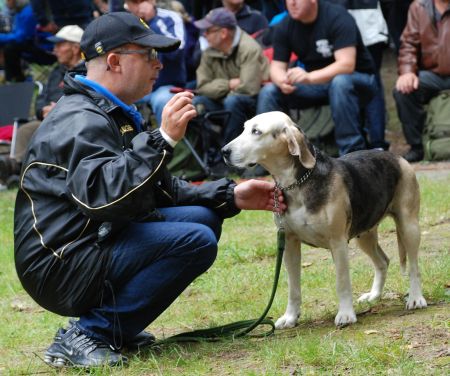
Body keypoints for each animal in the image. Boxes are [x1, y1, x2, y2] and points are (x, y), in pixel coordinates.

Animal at [223, 111, 428, 326]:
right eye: (244, 128)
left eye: (256, 131)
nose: (224, 151)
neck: (296, 184)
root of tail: (395, 156)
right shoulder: (289, 244)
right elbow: (293, 288)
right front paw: (290, 317)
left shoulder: (337, 243)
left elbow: (342, 282)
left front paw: (346, 314)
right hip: (364, 234)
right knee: (383, 261)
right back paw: (374, 295)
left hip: (409, 226)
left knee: (414, 267)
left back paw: (416, 298)